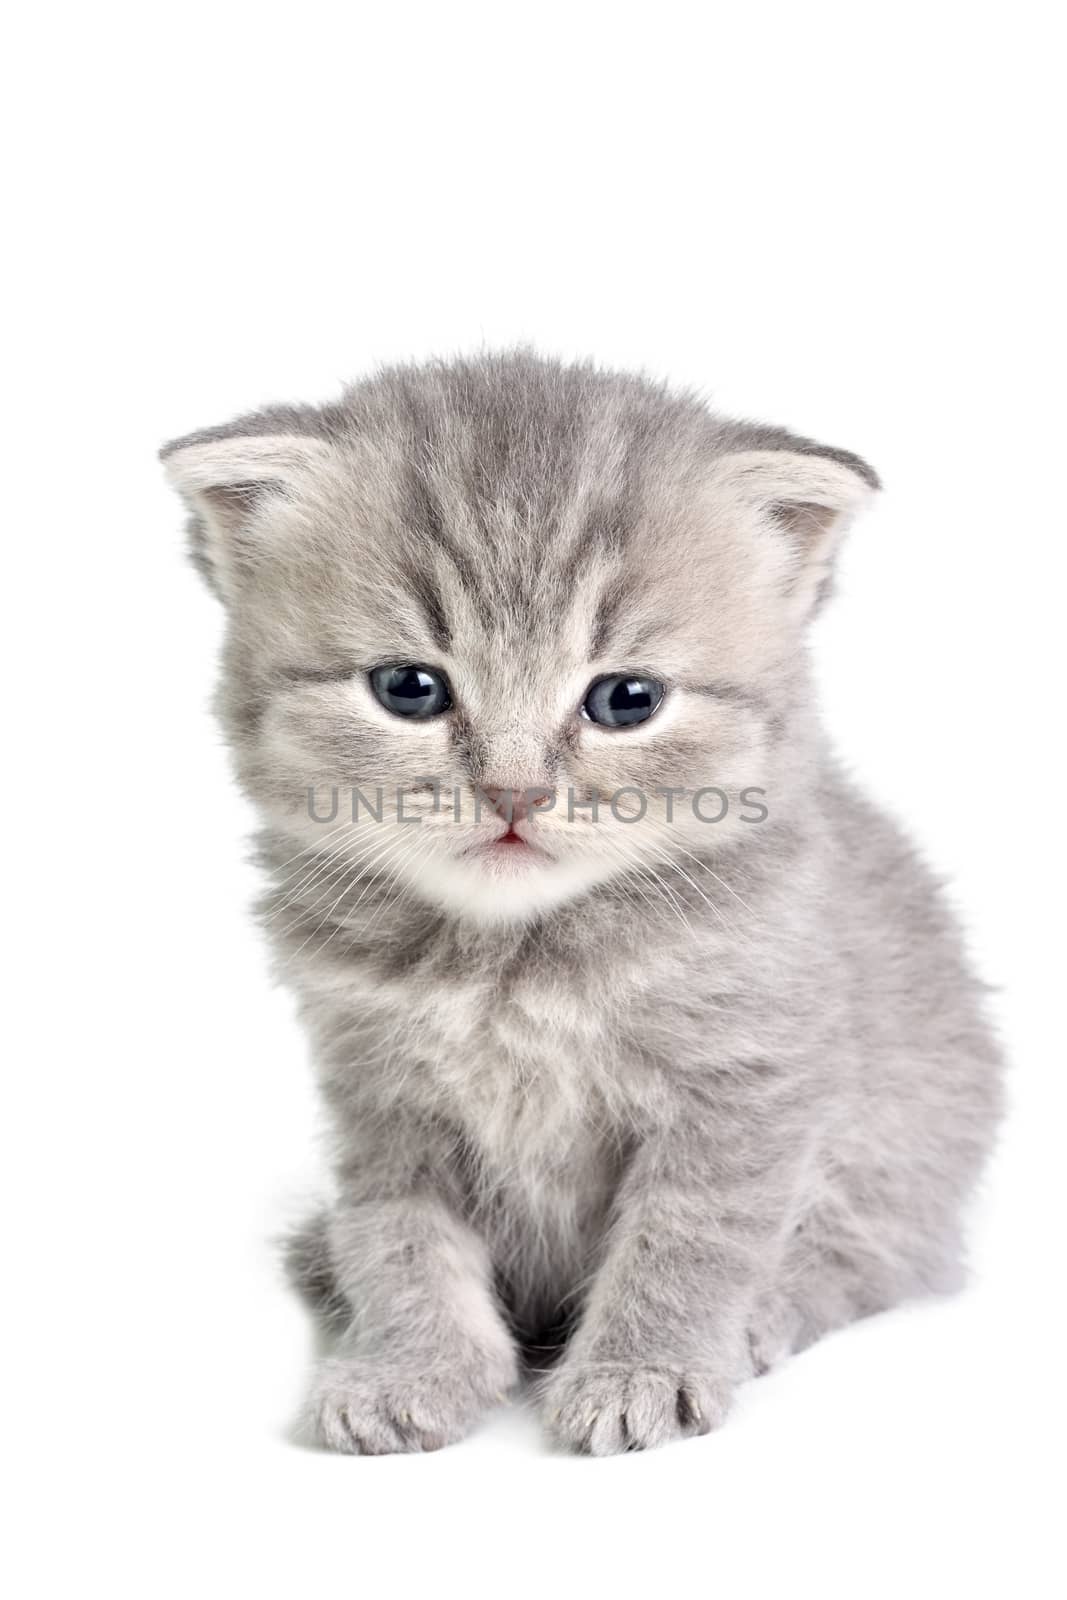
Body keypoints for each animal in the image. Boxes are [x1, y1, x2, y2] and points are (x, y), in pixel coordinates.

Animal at [163, 350, 1004, 1452]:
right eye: (407, 687)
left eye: (625, 700)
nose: (514, 792)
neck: (509, 961)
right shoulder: (380, 1098)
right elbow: (399, 1238)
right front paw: (410, 1361)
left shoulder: (747, 1081)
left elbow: (690, 1235)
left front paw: (642, 1368)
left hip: (908, 1149)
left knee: (869, 1257)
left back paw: (765, 1317)